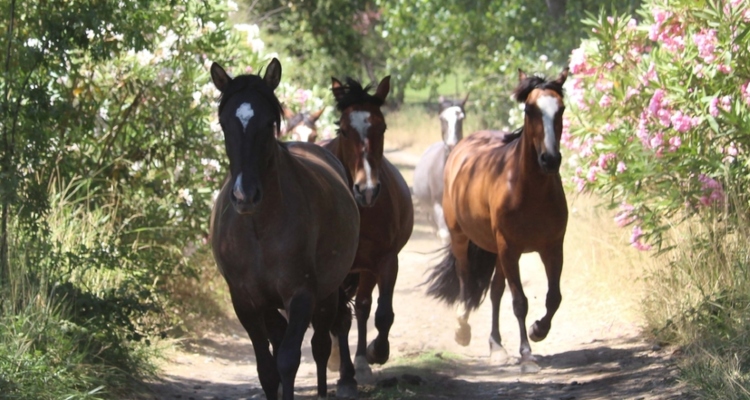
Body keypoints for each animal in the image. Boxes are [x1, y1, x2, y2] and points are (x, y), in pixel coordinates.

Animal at [210, 57, 362, 398]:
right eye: (224, 124)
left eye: (268, 123)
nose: (245, 195)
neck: (259, 230)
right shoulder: (246, 302)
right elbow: (267, 369)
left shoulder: (302, 296)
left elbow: (289, 360)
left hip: (327, 294)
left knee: (322, 343)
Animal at [318, 76, 414, 382]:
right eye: (344, 130)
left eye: (381, 127)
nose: (367, 190)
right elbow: (339, 318)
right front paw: (345, 373)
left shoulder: (385, 260)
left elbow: (382, 314)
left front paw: (374, 353)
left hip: (365, 269)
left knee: (361, 306)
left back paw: (360, 360)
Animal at [426, 68, 568, 372]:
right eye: (529, 109)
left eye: (561, 109)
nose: (550, 159)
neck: (528, 189)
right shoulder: (510, 248)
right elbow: (519, 302)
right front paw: (526, 355)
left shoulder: (552, 248)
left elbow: (553, 297)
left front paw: (538, 330)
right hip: (463, 238)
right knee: (466, 280)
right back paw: (463, 328)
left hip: (497, 251)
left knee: (494, 291)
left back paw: (497, 346)